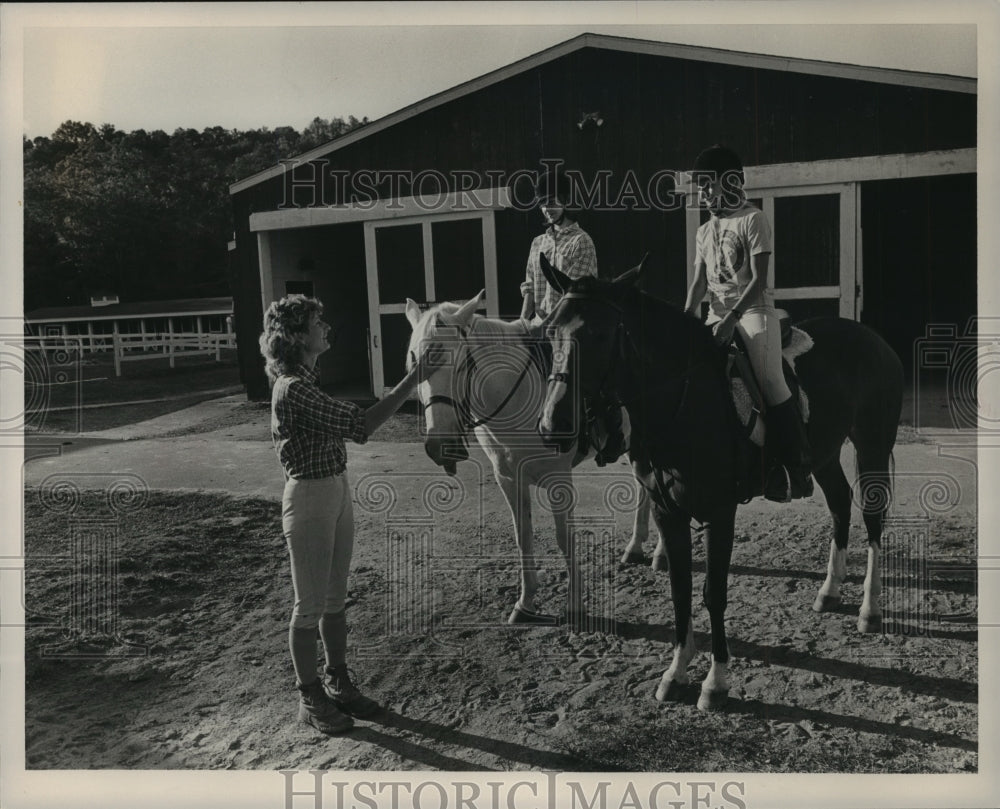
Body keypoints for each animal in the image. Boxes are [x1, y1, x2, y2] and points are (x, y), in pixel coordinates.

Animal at [402, 292, 660, 624]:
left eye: (457, 363)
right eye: (413, 365)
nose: (439, 444)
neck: (519, 397)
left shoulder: (559, 479)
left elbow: (564, 537)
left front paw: (575, 607)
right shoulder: (508, 478)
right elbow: (522, 535)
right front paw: (525, 604)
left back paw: (660, 555)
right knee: (643, 484)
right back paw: (635, 547)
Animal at [540, 256, 908, 712]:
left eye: (600, 334)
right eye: (550, 329)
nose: (554, 425)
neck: (682, 398)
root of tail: (873, 338)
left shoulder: (720, 512)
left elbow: (713, 592)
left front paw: (715, 683)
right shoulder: (666, 510)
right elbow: (680, 589)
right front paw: (675, 672)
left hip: (873, 443)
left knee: (873, 519)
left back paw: (870, 609)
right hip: (823, 454)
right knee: (840, 503)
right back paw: (830, 590)